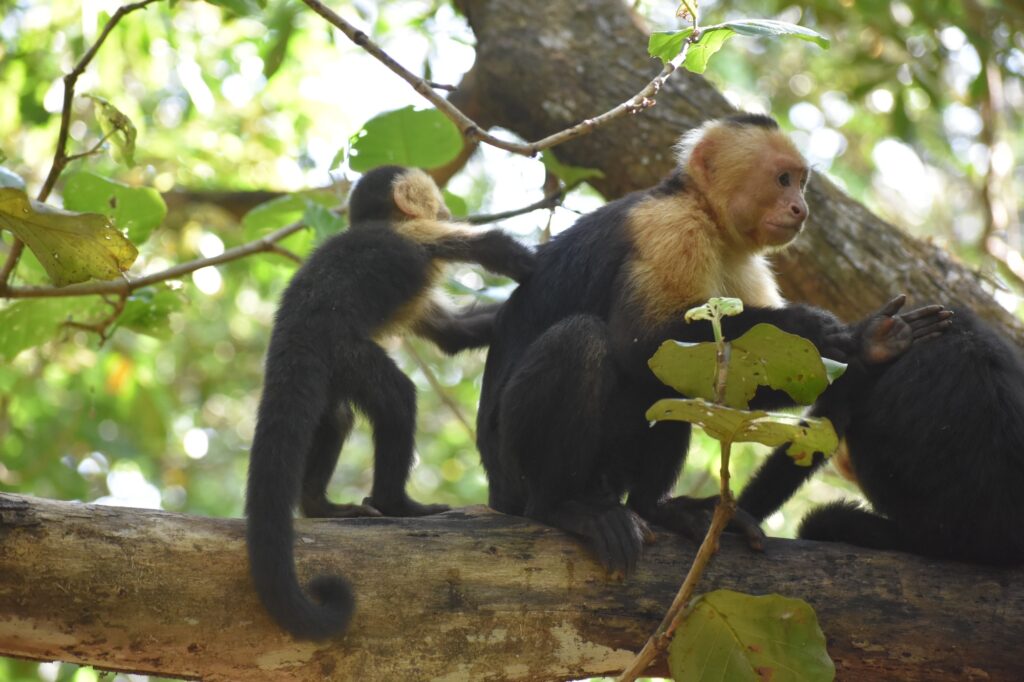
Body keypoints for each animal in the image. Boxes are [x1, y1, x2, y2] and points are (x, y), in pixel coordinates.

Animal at [246, 165, 535, 640]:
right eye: (437, 202)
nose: (446, 209)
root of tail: (291, 332)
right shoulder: (414, 235)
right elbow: (484, 247)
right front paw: (524, 259)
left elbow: (453, 335)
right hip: (343, 351)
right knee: (397, 399)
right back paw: (396, 504)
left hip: (328, 369)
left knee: (336, 418)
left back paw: (320, 506)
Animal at [476, 114, 951, 575]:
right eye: (782, 180)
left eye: (800, 183)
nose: (801, 209)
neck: (707, 215)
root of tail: (495, 488)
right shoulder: (668, 228)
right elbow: (640, 342)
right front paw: (832, 332)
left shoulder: (744, 263)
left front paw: (870, 347)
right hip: (511, 471)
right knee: (584, 340)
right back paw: (564, 506)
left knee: (670, 388)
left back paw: (658, 509)